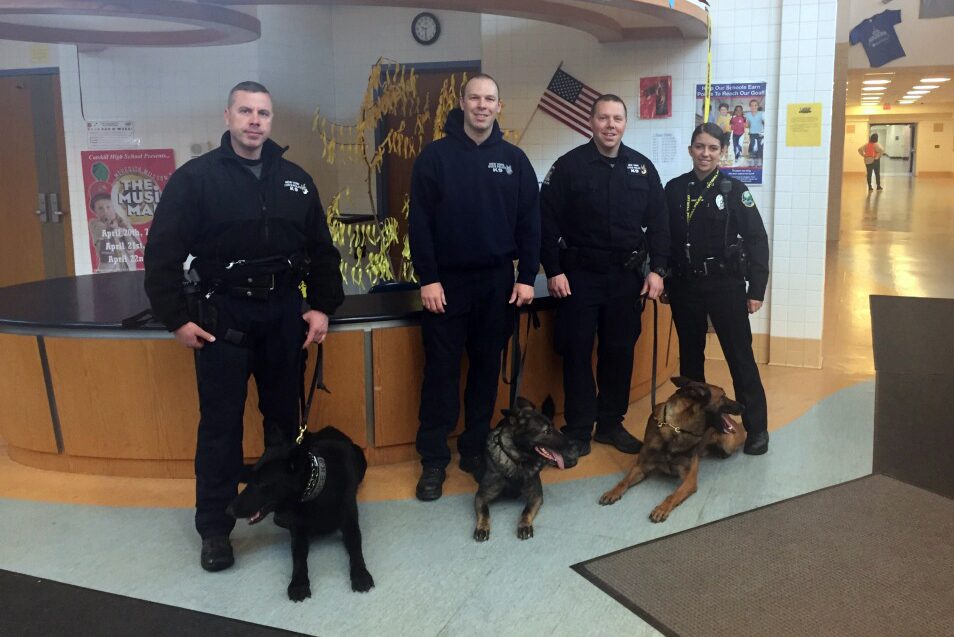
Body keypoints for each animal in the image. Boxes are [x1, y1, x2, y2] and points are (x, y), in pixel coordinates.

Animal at [226, 424, 372, 600]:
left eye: (262, 484)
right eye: (250, 480)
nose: (228, 510)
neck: (317, 490)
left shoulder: (350, 524)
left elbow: (356, 550)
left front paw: (361, 574)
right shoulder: (298, 531)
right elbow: (298, 557)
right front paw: (298, 583)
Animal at [474, 398, 564, 540]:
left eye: (553, 427)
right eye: (547, 431)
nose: (569, 441)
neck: (516, 460)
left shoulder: (536, 496)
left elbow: (526, 511)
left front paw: (524, 525)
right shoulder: (481, 496)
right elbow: (484, 511)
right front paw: (482, 527)